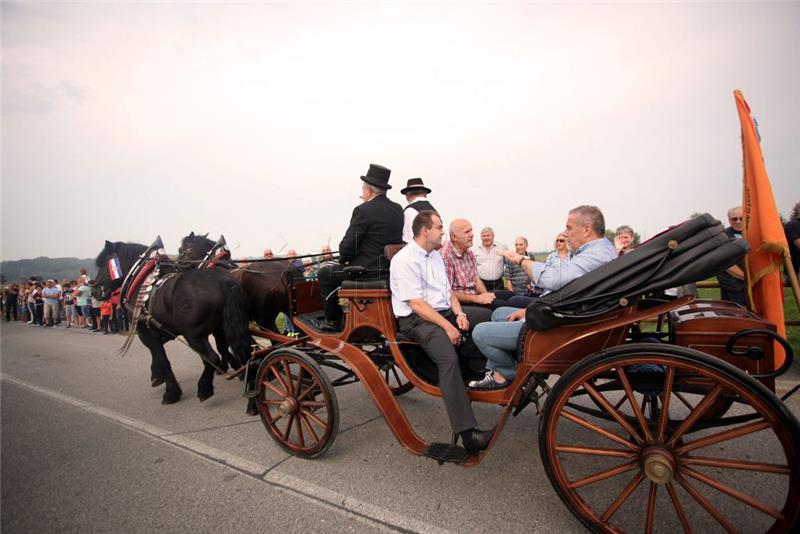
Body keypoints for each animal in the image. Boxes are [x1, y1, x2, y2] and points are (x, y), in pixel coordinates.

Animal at [94, 240, 256, 410]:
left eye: (103, 264)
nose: (94, 290)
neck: (142, 282)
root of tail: (224, 280)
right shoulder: (164, 329)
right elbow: (158, 356)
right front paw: (156, 376)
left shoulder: (146, 332)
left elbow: (162, 359)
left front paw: (171, 392)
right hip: (221, 327)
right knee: (239, 350)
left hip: (193, 334)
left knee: (212, 357)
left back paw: (205, 388)